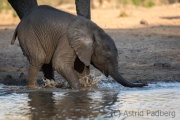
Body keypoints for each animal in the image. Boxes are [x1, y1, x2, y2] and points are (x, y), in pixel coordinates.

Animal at [11, 4, 147, 89]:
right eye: (107, 58)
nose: (145, 83)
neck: (93, 32)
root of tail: (19, 24)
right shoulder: (67, 41)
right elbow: (60, 63)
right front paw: (78, 89)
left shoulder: (82, 49)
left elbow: (80, 68)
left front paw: (89, 87)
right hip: (29, 35)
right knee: (39, 58)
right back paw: (34, 88)